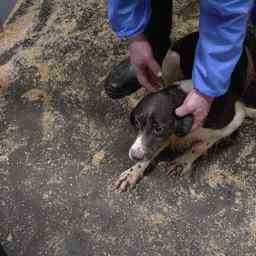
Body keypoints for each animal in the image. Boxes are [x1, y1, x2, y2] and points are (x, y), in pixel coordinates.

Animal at [115, 32, 256, 191]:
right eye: (137, 123)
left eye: (159, 128)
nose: (134, 155)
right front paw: (132, 172)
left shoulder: (234, 119)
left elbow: (201, 144)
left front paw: (183, 161)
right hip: (171, 59)